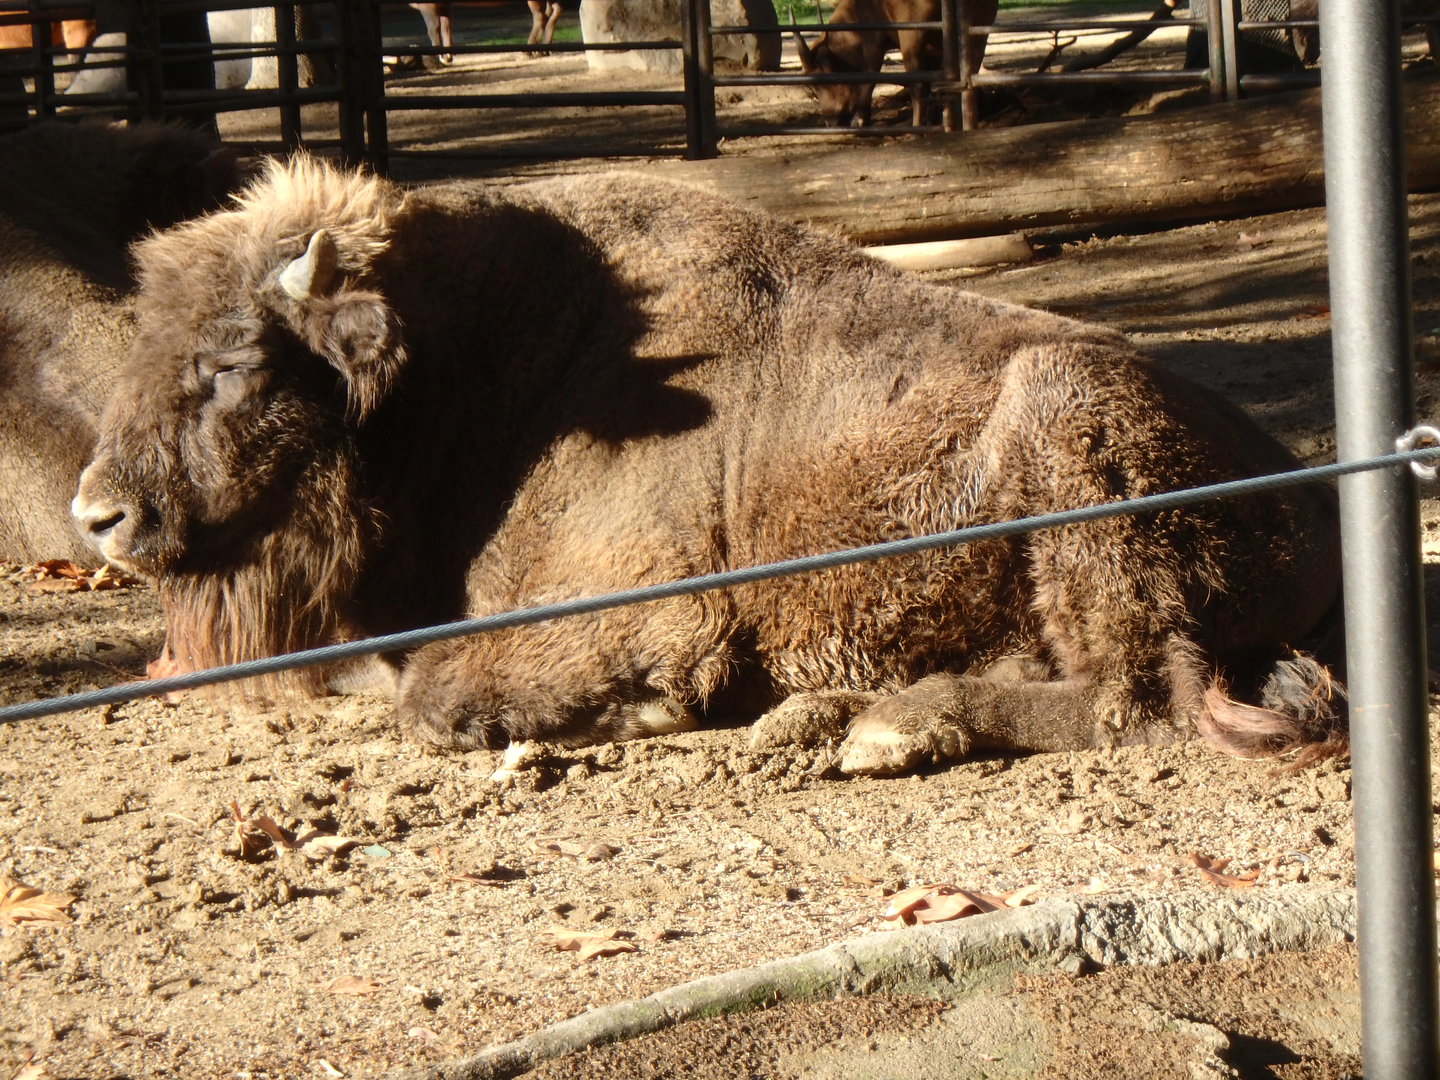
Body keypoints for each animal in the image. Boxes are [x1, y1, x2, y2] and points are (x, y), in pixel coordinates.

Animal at [73, 156, 1344, 776]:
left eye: (233, 363)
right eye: (141, 342)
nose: (99, 516)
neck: (473, 362)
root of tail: (1303, 497)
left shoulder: (634, 613)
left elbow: (439, 698)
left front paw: (638, 715)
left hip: (1067, 433)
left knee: (1131, 700)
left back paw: (881, 729)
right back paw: (827, 717)